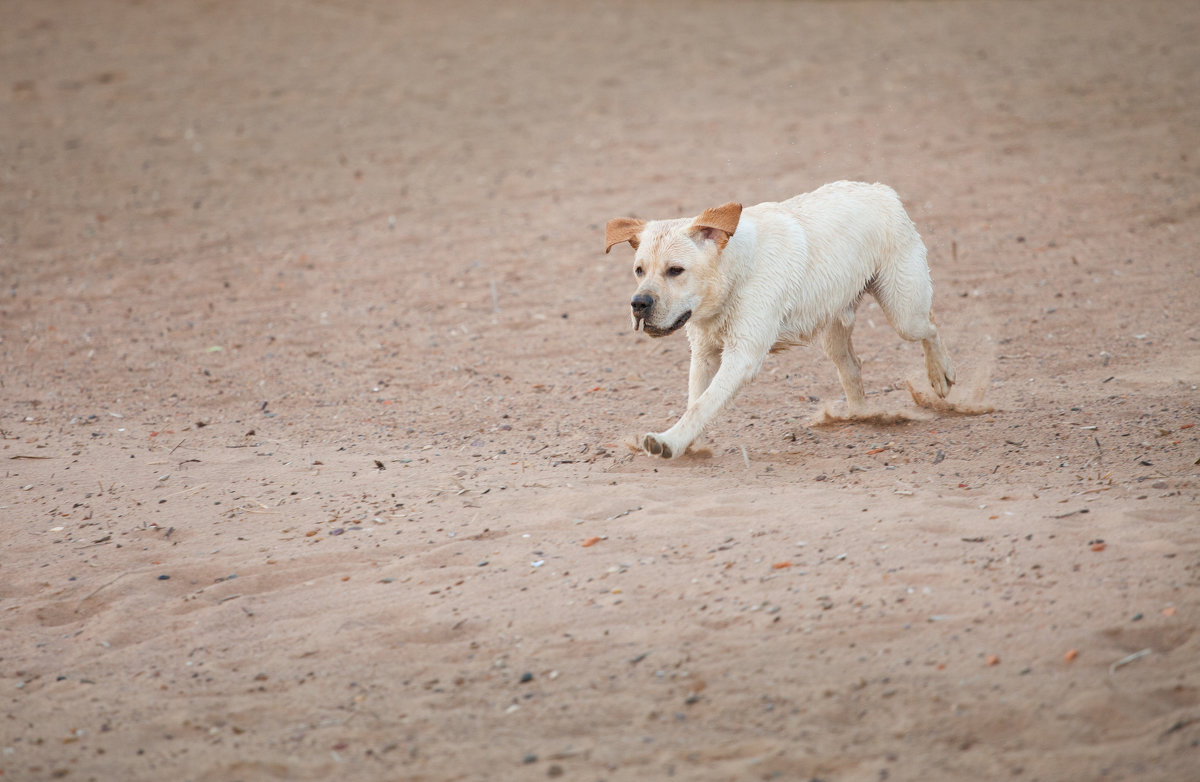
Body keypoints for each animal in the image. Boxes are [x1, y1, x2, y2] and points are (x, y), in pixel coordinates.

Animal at [609, 179, 955, 460]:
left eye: (675, 270)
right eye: (639, 270)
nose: (639, 303)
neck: (735, 275)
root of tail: (882, 190)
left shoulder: (742, 356)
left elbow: (701, 405)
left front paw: (670, 441)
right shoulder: (704, 353)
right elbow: (697, 400)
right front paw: (689, 444)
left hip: (904, 312)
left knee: (931, 326)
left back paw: (941, 374)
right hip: (834, 325)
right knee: (853, 366)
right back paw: (862, 415)